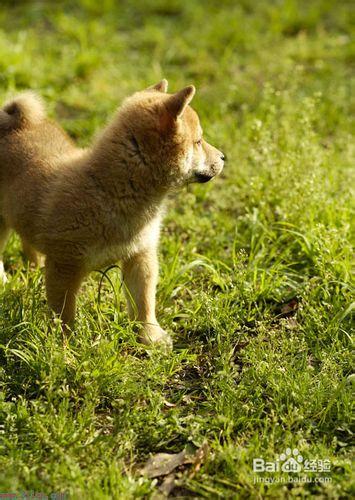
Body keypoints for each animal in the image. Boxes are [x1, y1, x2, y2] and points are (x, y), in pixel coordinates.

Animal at [0, 81, 225, 348]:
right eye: (199, 141)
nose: (223, 157)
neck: (110, 190)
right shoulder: (65, 265)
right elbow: (64, 314)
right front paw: (66, 347)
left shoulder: (140, 255)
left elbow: (144, 301)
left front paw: (150, 336)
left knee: (28, 239)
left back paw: (34, 267)